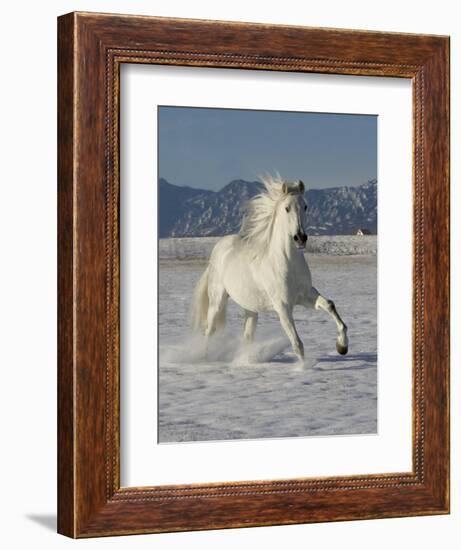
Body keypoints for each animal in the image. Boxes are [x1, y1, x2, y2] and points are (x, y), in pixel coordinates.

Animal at [189, 175, 346, 360]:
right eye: (287, 208)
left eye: (305, 206)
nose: (300, 238)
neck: (287, 263)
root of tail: (218, 250)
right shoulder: (283, 306)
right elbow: (297, 344)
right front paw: (304, 366)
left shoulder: (306, 295)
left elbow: (329, 305)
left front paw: (342, 346)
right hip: (217, 300)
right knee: (210, 330)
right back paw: (206, 357)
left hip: (250, 307)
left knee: (247, 336)